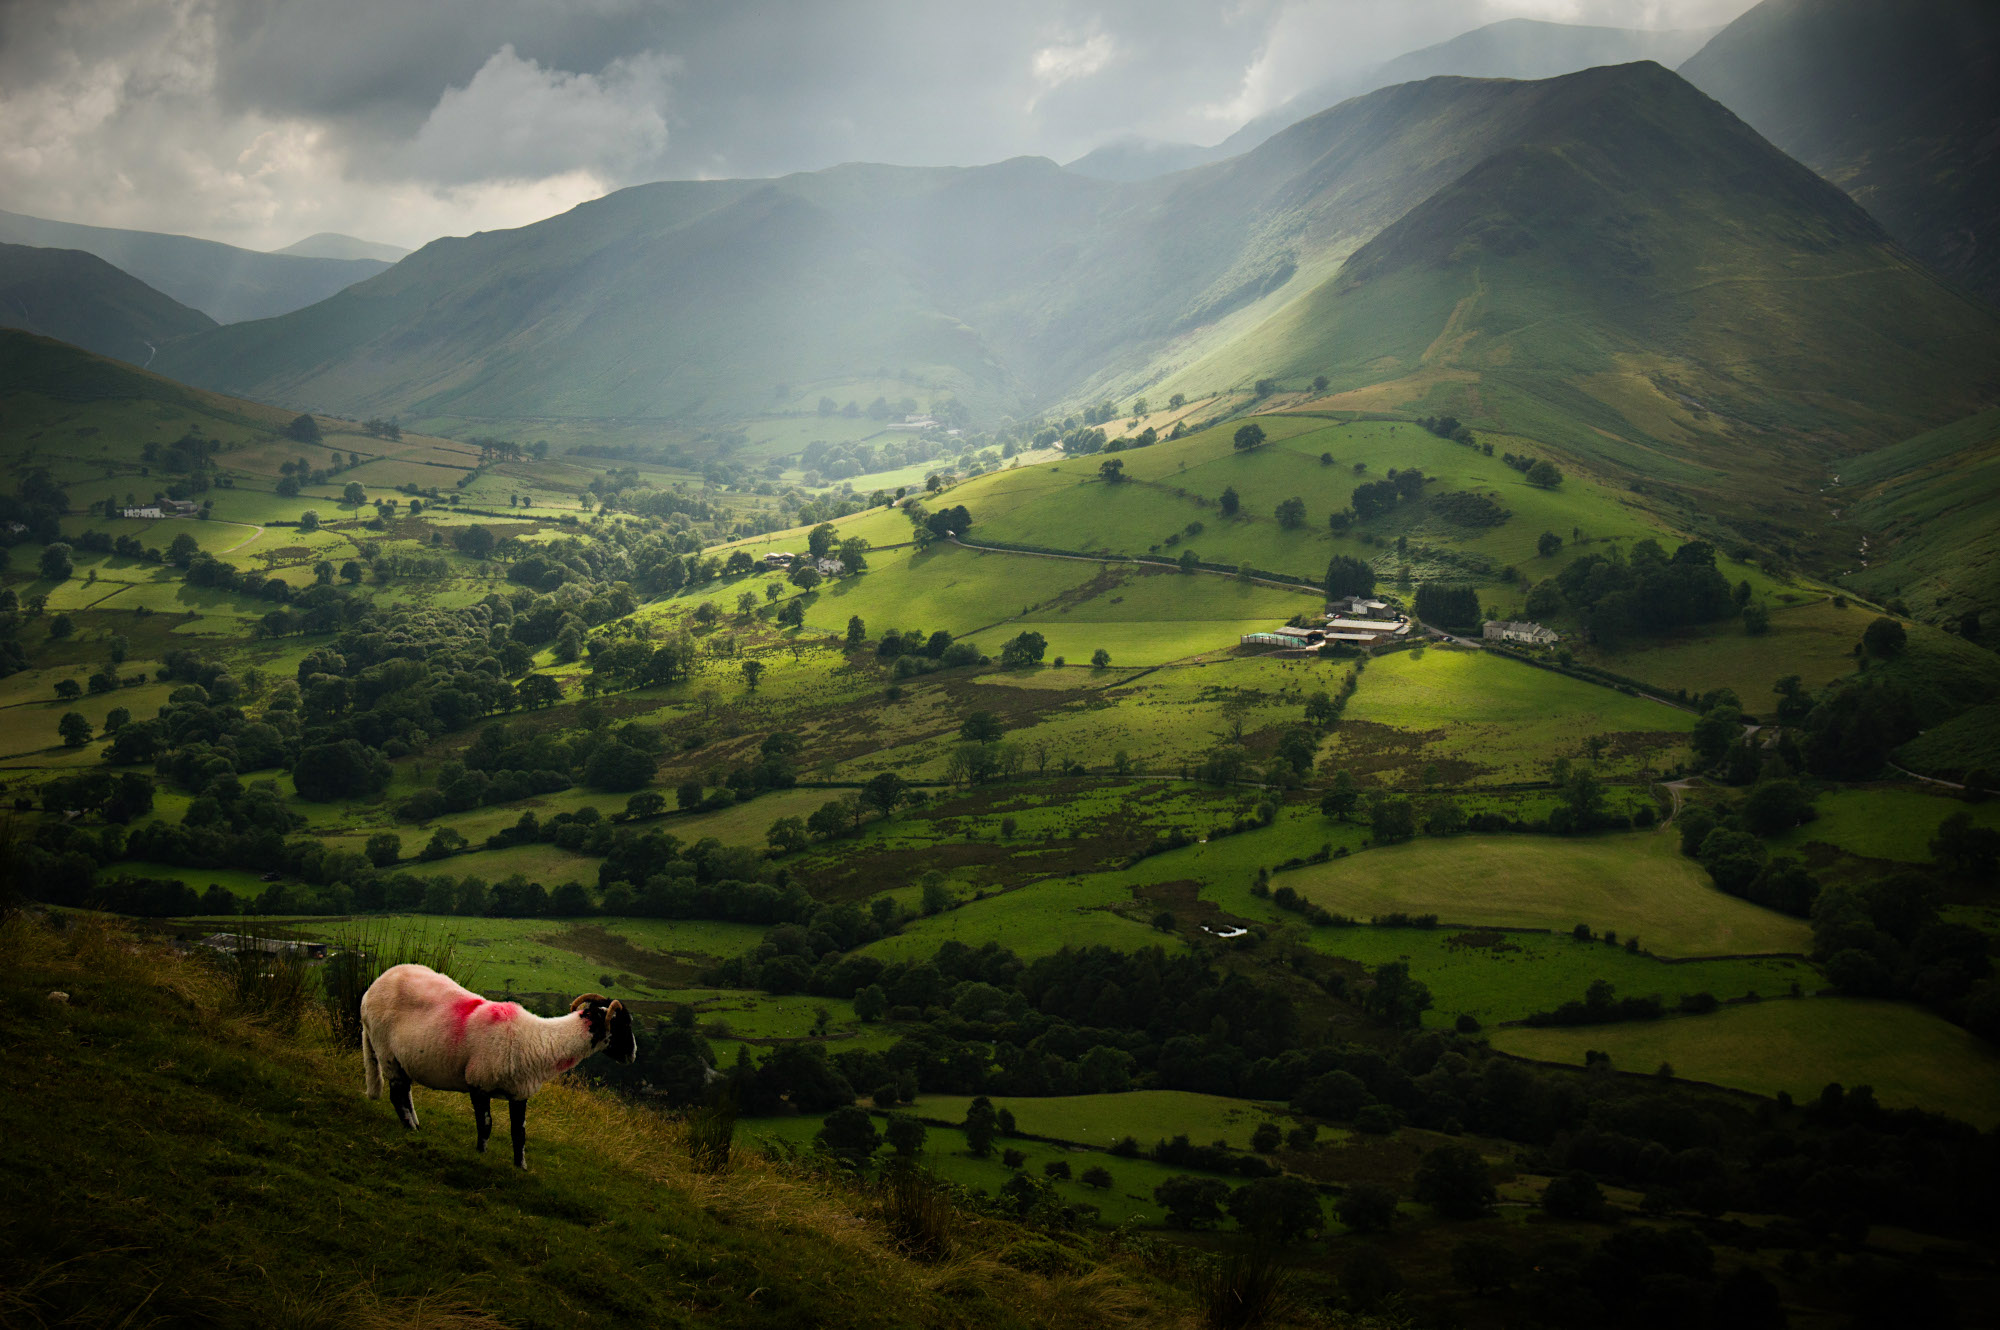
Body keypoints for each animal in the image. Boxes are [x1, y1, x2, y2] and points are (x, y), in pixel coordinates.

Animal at [360, 964, 636, 1160]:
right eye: (623, 1025)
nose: (633, 1054)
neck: (537, 1039)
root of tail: (371, 989)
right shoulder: (478, 1084)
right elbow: (486, 1125)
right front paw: (481, 1155)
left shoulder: (520, 1093)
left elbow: (519, 1134)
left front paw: (520, 1168)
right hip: (386, 1051)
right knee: (397, 1094)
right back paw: (411, 1129)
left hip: (400, 1058)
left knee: (405, 1092)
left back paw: (416, 1124)